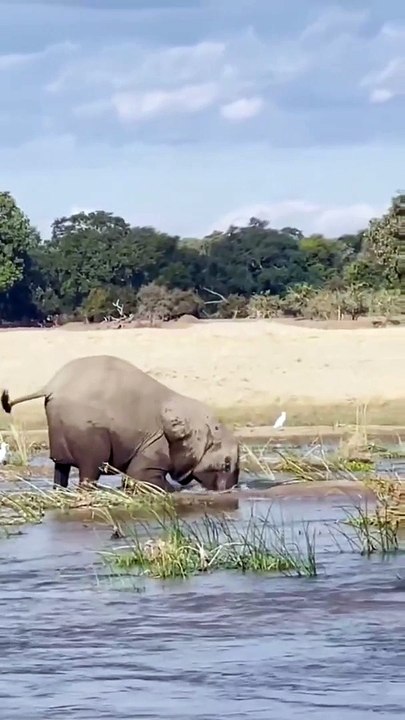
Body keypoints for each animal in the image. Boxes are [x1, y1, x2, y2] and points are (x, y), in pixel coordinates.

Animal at [1, 354, 240, 493]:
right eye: (226, 464)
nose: (229, 492)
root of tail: (51, 385)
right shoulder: (158, 442)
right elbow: (142, 476)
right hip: (86, 430)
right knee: (89, 469)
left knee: (61, 467)